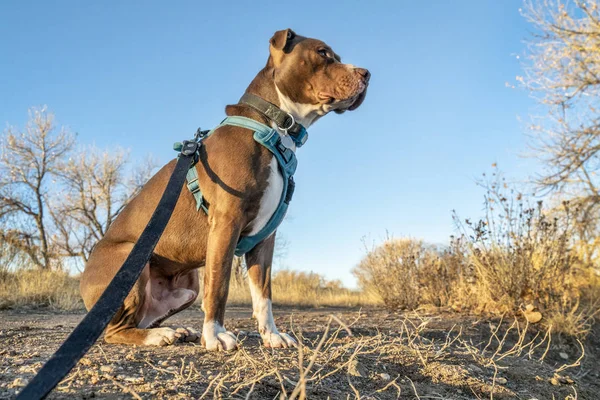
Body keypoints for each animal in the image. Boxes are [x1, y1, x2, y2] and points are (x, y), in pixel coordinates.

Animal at [79, 28, 370, 350]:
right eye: (322, 53)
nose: (366, 74)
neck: (273, 127)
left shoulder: (263, 239)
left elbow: (264, 294)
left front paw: (272, 335)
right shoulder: (227, 223)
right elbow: (219, 285)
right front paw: (215, 335)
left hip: (187, 286)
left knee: (142, 319)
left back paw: (175, 331)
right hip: (130, 261)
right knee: (115, 330)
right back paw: (159, 335)